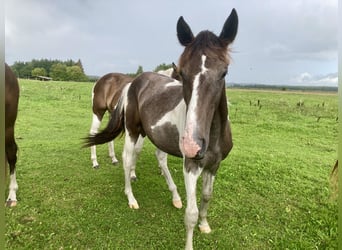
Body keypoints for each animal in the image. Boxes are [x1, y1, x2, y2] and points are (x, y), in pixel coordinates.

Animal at [85, 8, 238, 249]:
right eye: (183, 73)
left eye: (224, 72)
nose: (193, 145)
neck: (212, 135)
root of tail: (133, 82)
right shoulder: (191, 166)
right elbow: (191, 213)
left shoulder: (214, 165)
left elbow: (207, 197)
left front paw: (205, 225)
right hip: (130, 130)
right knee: (126, 158)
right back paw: (130, 197)